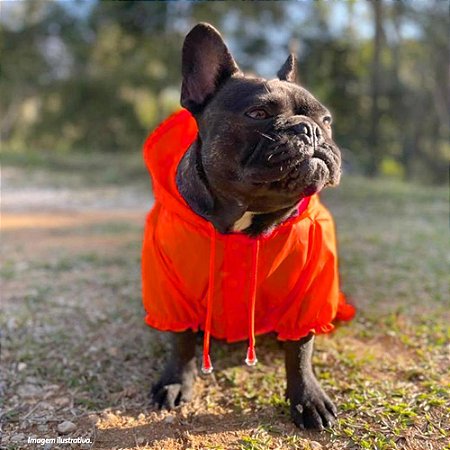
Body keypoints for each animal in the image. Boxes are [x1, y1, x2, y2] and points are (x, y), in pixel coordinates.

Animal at [142, 22, 354, 430]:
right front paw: (176, 381)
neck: (246, 215)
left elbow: (301, 349)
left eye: (326, 121)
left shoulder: (308, 291)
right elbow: (181, 341)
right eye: (257, 113)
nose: (309, 130)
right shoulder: (171, 289)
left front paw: (308, 398)